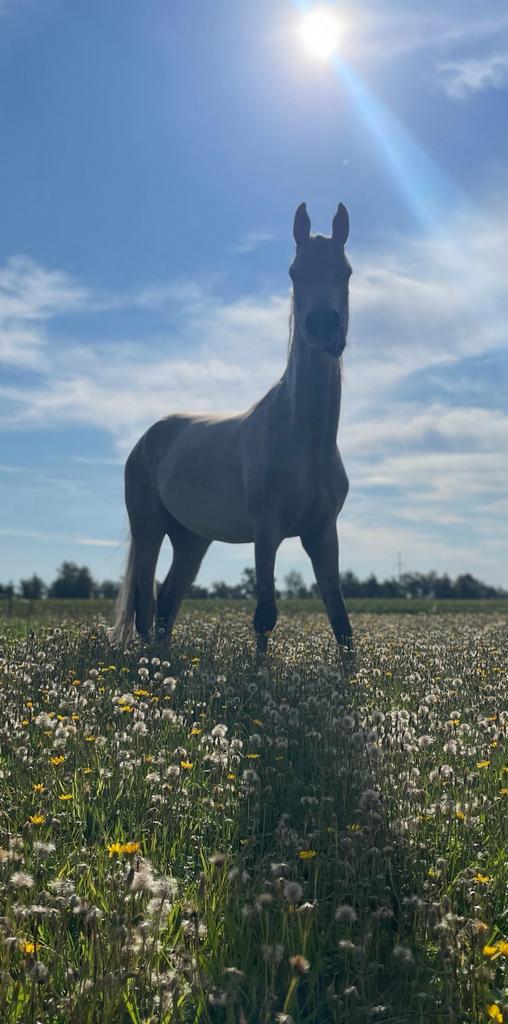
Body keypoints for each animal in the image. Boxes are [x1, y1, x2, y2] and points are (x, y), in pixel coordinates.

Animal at [110, 202, 353, 657]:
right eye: (294, 272)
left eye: (345, 271)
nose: (323, 328)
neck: (304, 437)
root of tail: (148, 439)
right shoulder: (266, 532)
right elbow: (265, 617)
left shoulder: (322, 534)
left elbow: (342, 624)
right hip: (149, 528)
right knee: (147, 605)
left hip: (191, 541)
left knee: (168, 601)